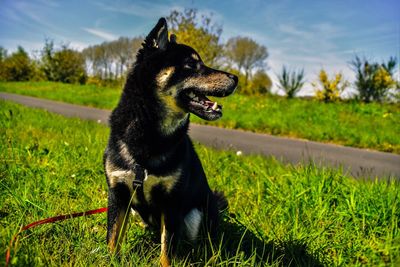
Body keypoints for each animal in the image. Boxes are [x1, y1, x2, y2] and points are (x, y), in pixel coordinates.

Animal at [103, 17, 239, 266]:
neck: (149, 136)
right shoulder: (118, 193)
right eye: (191, 65)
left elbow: (168, 247)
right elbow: (113, 236)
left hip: (195, 214)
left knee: (199, 243)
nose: (236, 78)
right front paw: (110, 260)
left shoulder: (172, 201)